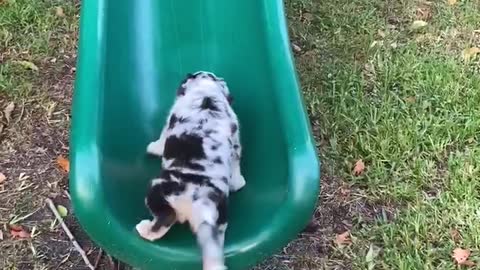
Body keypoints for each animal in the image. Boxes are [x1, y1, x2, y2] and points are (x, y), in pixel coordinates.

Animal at [136, 70, 246, 268]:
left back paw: (144, 228)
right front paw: (238, 182)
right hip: (219, 223)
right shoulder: (235, 139)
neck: (207, 95)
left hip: (157, 190)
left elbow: (160, 142)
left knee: (165, 220)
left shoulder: (168, 124)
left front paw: (152, 147)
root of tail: (203, 204)